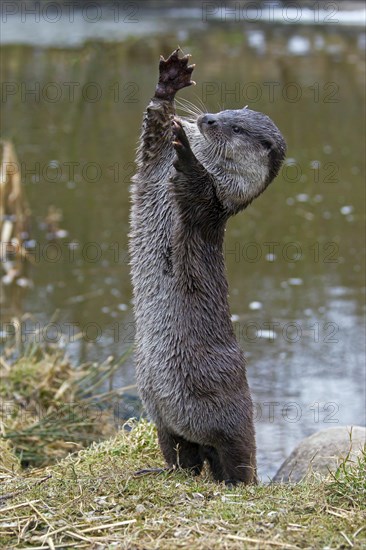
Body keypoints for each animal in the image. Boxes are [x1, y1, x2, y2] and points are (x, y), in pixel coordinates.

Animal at [130, 49, 288, 486]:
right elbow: (153, 127)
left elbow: (196, 186)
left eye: (235, 126)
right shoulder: (153, 160)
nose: (207, 120)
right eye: (224, 109)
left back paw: (235, 481)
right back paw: (160, 468)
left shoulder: (212, 203)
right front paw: (169, 81)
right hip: (161, 413)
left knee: (235, 455)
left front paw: (185, 150)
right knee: (183, 454)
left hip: (225, 408)